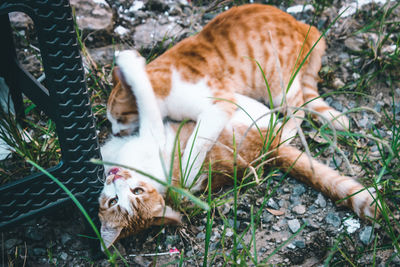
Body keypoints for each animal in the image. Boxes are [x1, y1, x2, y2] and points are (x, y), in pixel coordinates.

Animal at [100, 76, 378, 251]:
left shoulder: (151, 131)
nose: (116, 177)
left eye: (137, 191)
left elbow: (146, 99)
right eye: (113, 202)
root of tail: (271, 150)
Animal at [106, 3, 350, 188]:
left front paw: (188, 171)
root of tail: (302, 25)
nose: (114, 132)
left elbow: (198, 141)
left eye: (119, 118)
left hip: (279, 87)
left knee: (299, 108)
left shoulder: (219, 104)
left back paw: (287, 131)